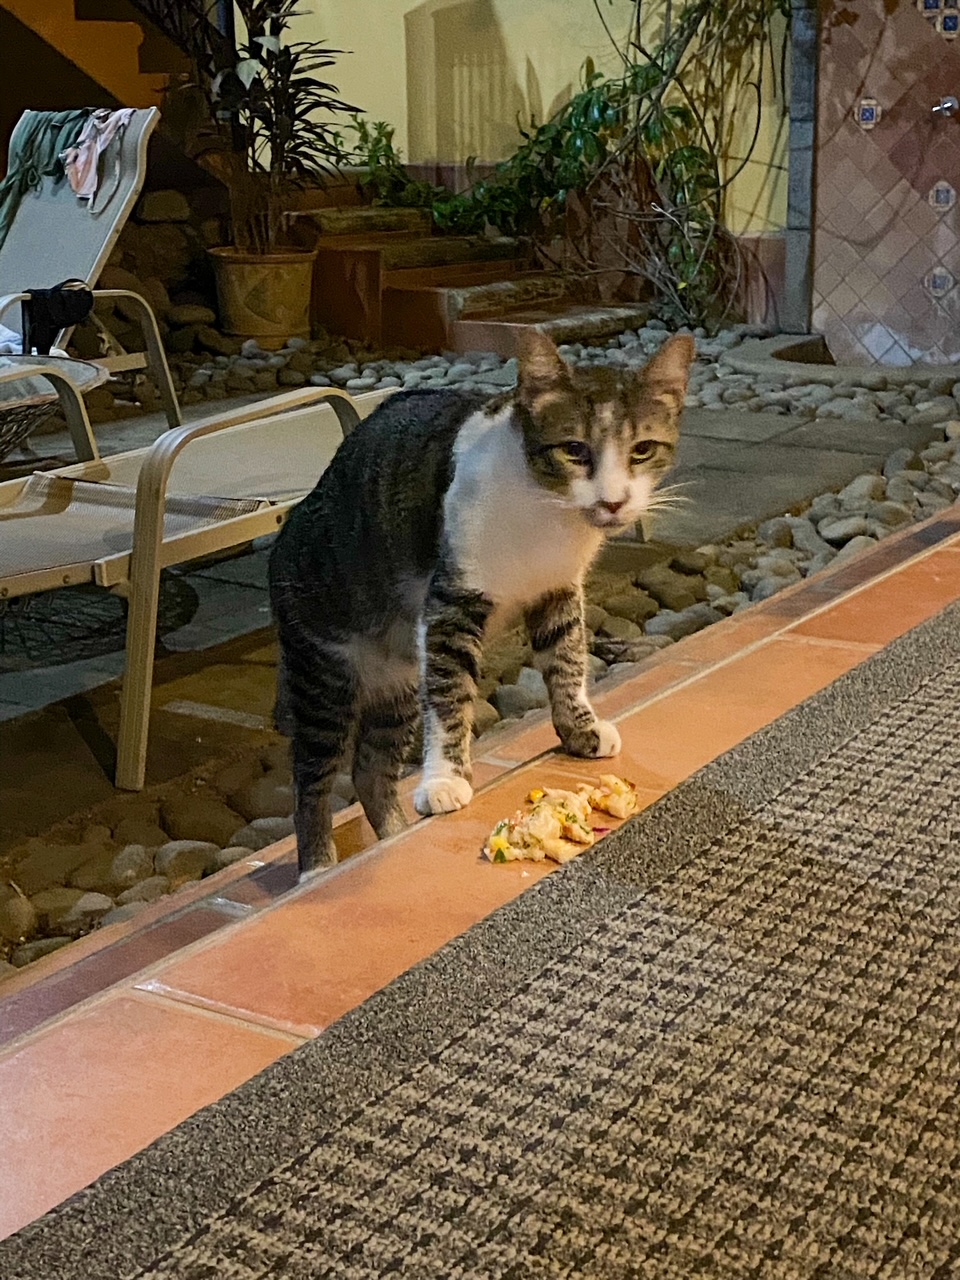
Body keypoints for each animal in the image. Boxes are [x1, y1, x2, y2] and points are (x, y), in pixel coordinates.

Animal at [267, 325, 696, 875]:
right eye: (574, 449)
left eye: (642, 449)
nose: (614, 501)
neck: (546, 513)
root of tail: (287, 532)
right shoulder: (451, 605)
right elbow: (450, 694)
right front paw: (445, 779)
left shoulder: (558, 590)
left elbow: (567, 663)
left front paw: (579, 730)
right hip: (324, 675)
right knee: (312, 779)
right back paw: (318, 865)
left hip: (399, 683)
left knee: (371, 770)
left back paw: (394, 834)